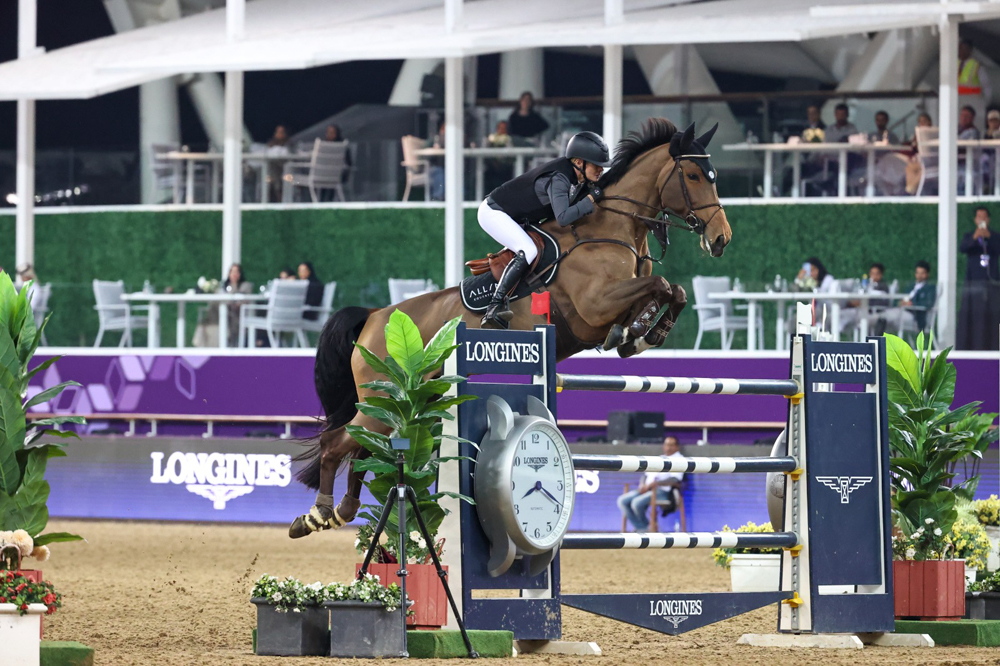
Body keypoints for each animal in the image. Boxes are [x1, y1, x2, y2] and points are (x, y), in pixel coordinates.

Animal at [286, 116, 732, 536]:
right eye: (694, 176)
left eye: (714, 176)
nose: (721, 239)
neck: (612, 230)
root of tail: (375, 316)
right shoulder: (596, 306)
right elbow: (658, 286)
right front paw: (636, 330)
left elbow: (673, 289)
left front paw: (643, 332)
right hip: (385, 398)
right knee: (337, 442)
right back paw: (317, 514)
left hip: (409, 401)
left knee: (364, 447)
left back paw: (341, 510)